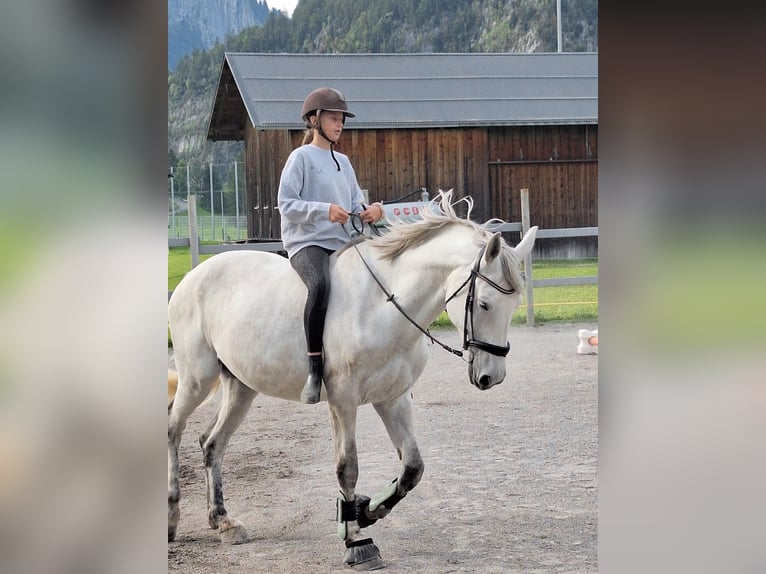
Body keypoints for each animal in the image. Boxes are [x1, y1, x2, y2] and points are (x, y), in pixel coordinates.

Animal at [167, 190, 537, 569]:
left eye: (514, 305)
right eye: (484, 304)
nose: (492, 376)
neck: (382, 306)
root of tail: (194, 275)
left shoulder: (393, 399)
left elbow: (412, 468)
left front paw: (365, 510)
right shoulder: (343, 400)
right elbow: (348, 468)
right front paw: (356, 541)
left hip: (242, 388)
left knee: (212, 443)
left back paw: (223, 521)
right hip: (196, 380)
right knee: (174, 429)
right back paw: (172, 520)